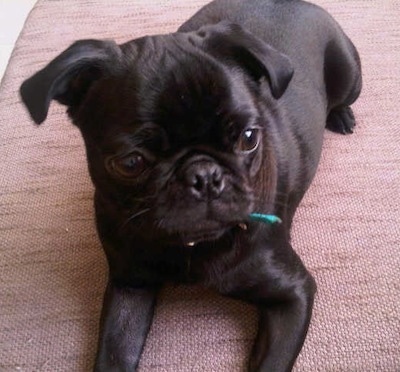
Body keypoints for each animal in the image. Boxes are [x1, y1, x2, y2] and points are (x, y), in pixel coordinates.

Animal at [20, 0, 360, 370]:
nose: (205, 176)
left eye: (249, 138)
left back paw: (341, 116)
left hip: (350, 74)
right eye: (130, 163)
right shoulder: (130, 285)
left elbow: (270, 363)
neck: (192, 246)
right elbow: (113, 353)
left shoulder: (292, 294)